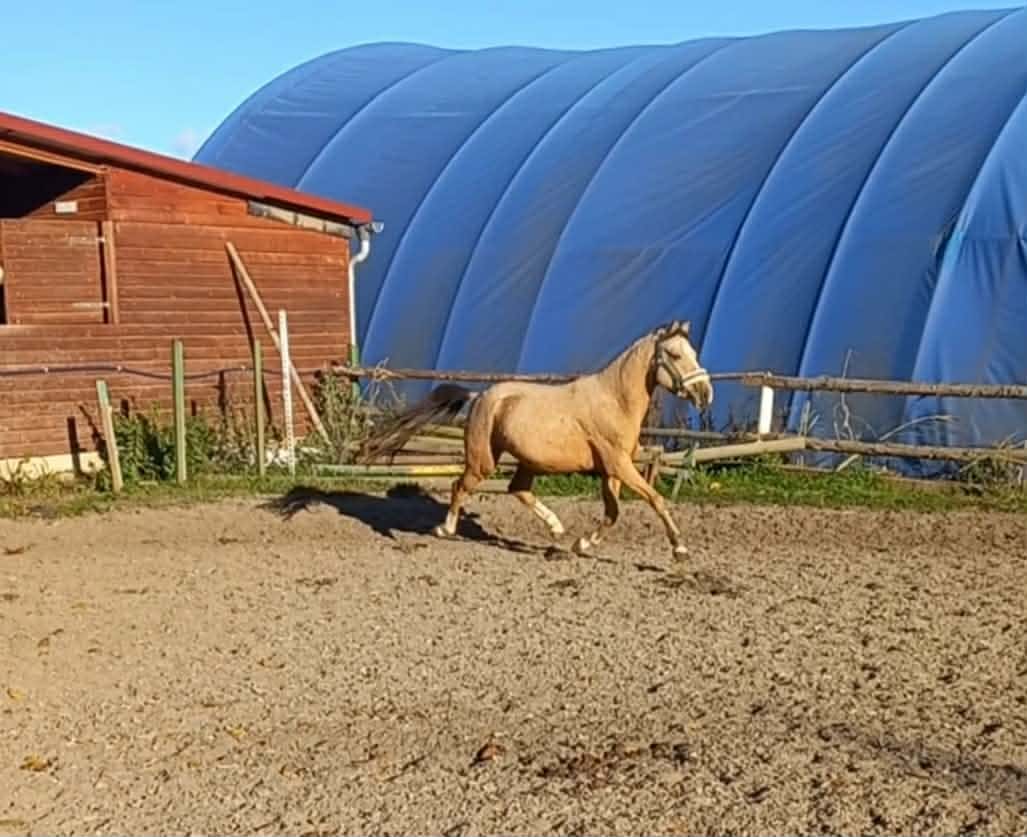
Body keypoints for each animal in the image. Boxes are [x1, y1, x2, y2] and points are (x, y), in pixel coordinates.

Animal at [356, 320, 712, 558]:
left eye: (693, 352)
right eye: (675, 355)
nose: (705, 393)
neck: (614, 400)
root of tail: (481, 395)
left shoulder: (612, 470)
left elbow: (613, 513)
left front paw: (581, 544)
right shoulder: (619, 465)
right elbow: (655, 499)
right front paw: (680, 549)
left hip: (529, 461)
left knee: (518, 489)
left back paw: (556, 530)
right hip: (483, 460)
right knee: (461, 486)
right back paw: (445, 530)